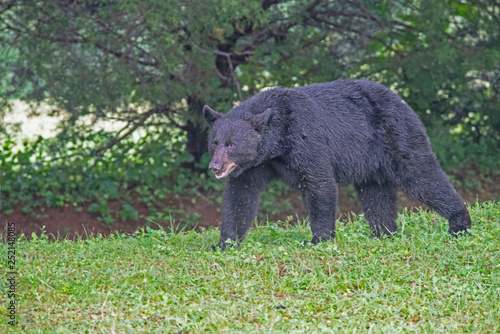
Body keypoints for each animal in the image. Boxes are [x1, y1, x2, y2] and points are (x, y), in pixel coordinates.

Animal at [201, 79, 470, 248]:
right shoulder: (255, 165)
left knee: (422, 174)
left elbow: (319, 183)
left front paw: (317, 239)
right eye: (215, 142)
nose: (215, 167)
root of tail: (402, 101)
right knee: (377, 194)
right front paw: (225, 242)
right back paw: (384, 232)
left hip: (398, 136)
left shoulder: (305, 137)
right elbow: (240, 196)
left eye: (232, 144)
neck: (275, 142)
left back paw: (459, 223)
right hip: (370, 161)